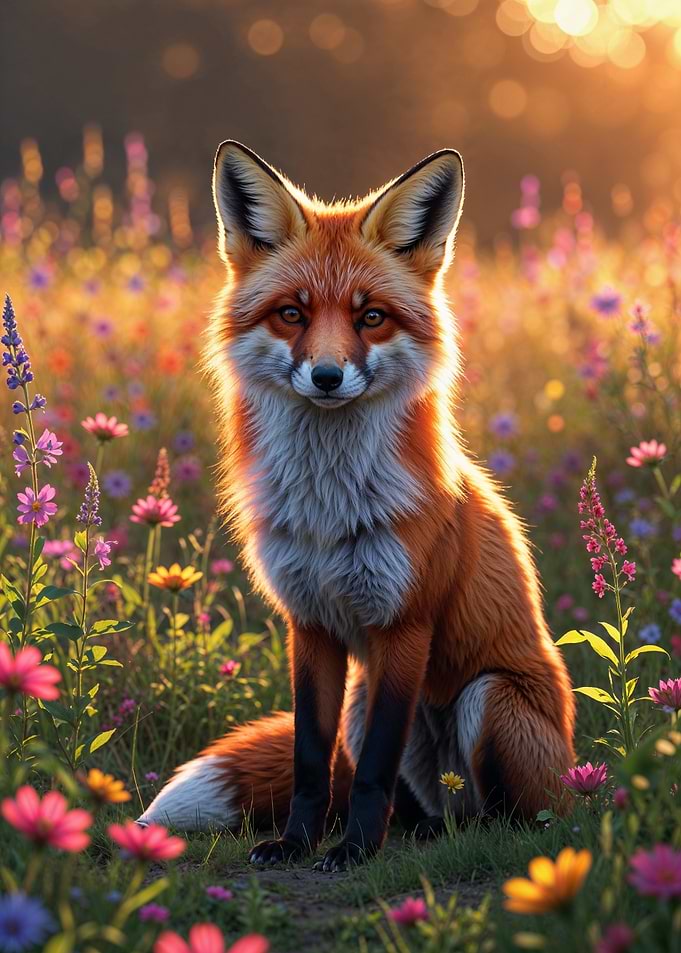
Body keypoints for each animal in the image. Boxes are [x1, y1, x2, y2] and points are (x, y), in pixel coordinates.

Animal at [138, 141, 576, 871]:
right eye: (292, 313)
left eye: (371, 316)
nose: (326, 376)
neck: (328, 509)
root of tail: (580, 773)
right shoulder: (309, 623)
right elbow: (311, 763)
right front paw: (297, 841)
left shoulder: (405, 624)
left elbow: (370, 769)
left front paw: (351, 851)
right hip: (361, 702)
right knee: (424, 808)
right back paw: (419, 832)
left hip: (487, 700)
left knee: (508, 818)